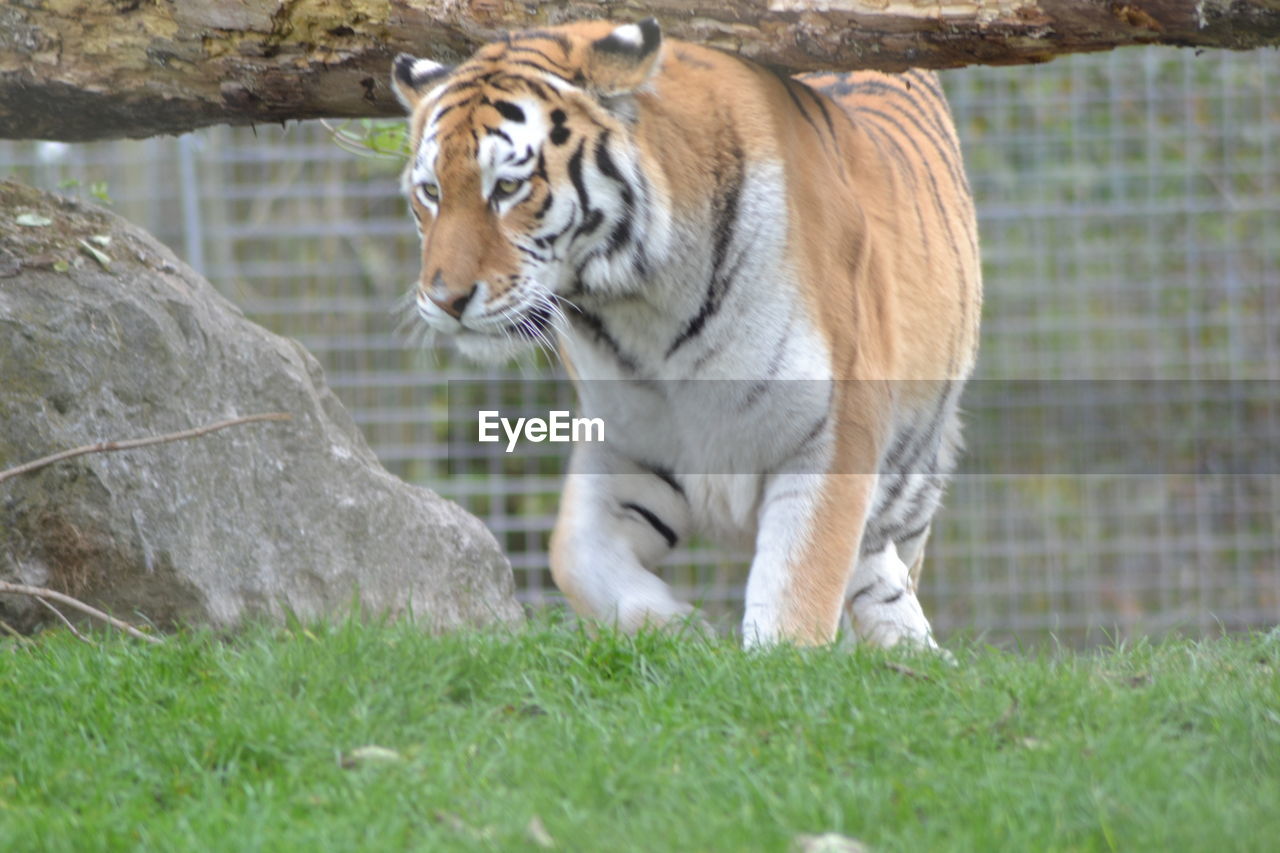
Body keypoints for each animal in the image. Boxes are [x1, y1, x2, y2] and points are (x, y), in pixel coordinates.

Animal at [389, 18, 977, 645]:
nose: (444, 300)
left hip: (912, 473)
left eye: (506, 188)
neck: (643, 310)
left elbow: (799, 590)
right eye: (431, 192)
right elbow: (573, 557)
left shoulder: (836, 430)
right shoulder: (630, 448)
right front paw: (682, 632)